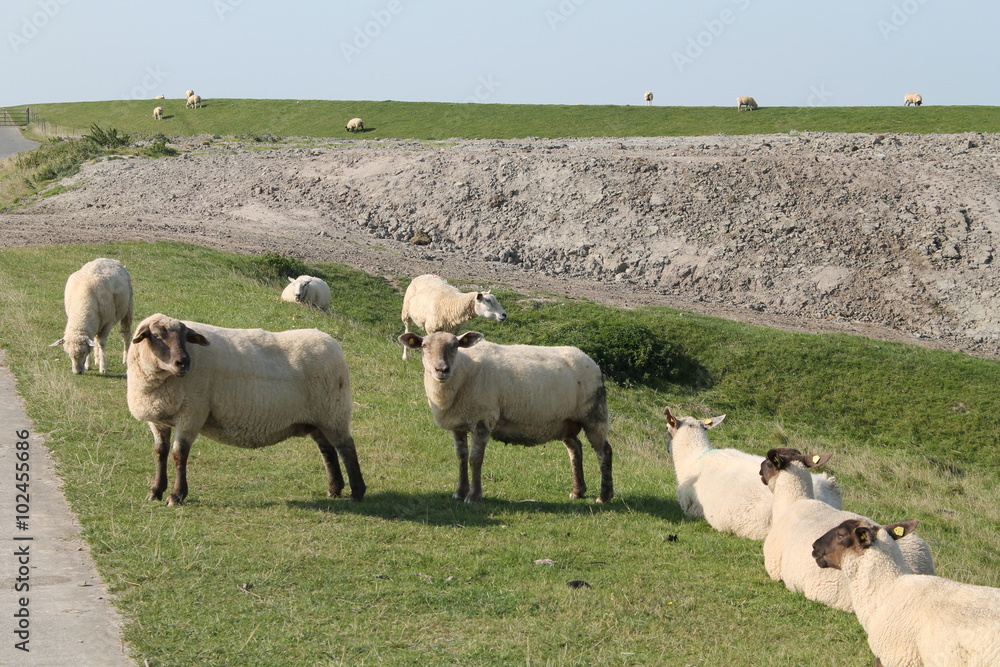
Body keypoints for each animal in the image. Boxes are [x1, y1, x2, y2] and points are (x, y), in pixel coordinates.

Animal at [125, 313, 366, 506]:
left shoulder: (191, 414)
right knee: (328, 450)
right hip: (317, 418)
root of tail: (332, 343)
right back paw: (334, 489)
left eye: (185, 337)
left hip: (334, 412)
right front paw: (155, 491)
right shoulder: (158, 420)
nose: (183, 362)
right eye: (157, 336)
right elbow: (160, 452)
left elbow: (179, 455)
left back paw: (357, 492)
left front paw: (177, 495)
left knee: (346, 448)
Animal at [397, 331, 613, 504]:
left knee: (604, 452)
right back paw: (578, 491)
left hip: (593, 414)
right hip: (564, 421)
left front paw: (474, 496)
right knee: (575, 448)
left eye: (455, 346)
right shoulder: (457, 425)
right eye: (424, 346)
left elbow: (475, 459)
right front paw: (459, 492)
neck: (463, 371)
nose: (442, 370)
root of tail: (589, 359)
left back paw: (604, 495)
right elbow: (461, 457)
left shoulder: (482, 421)